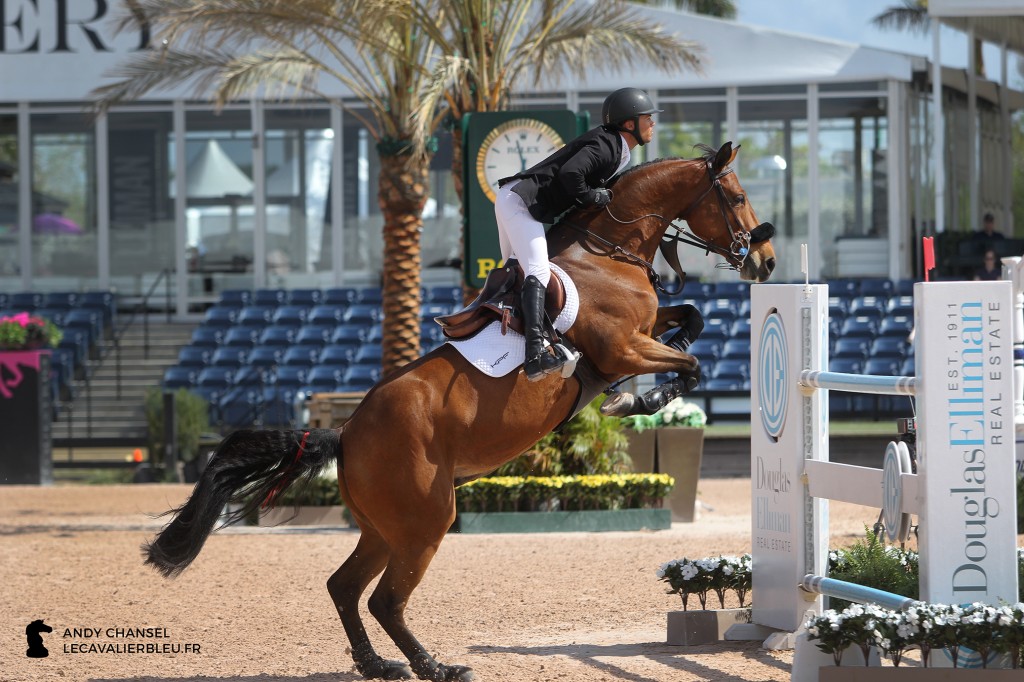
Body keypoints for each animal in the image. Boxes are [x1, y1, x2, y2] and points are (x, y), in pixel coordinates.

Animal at [144, 139, 774, 679]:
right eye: (736, 195)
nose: (764, 261)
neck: (606, 254)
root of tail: (345, 433)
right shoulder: (622, 347)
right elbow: (688, 364)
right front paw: (641, 398)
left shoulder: (643, 332)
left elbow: (691, 318)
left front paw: (646, 385)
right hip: (425, 520)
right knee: (385, 600)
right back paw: (436, 667)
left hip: (385, 528)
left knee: (345, 587)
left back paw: (380, 666)